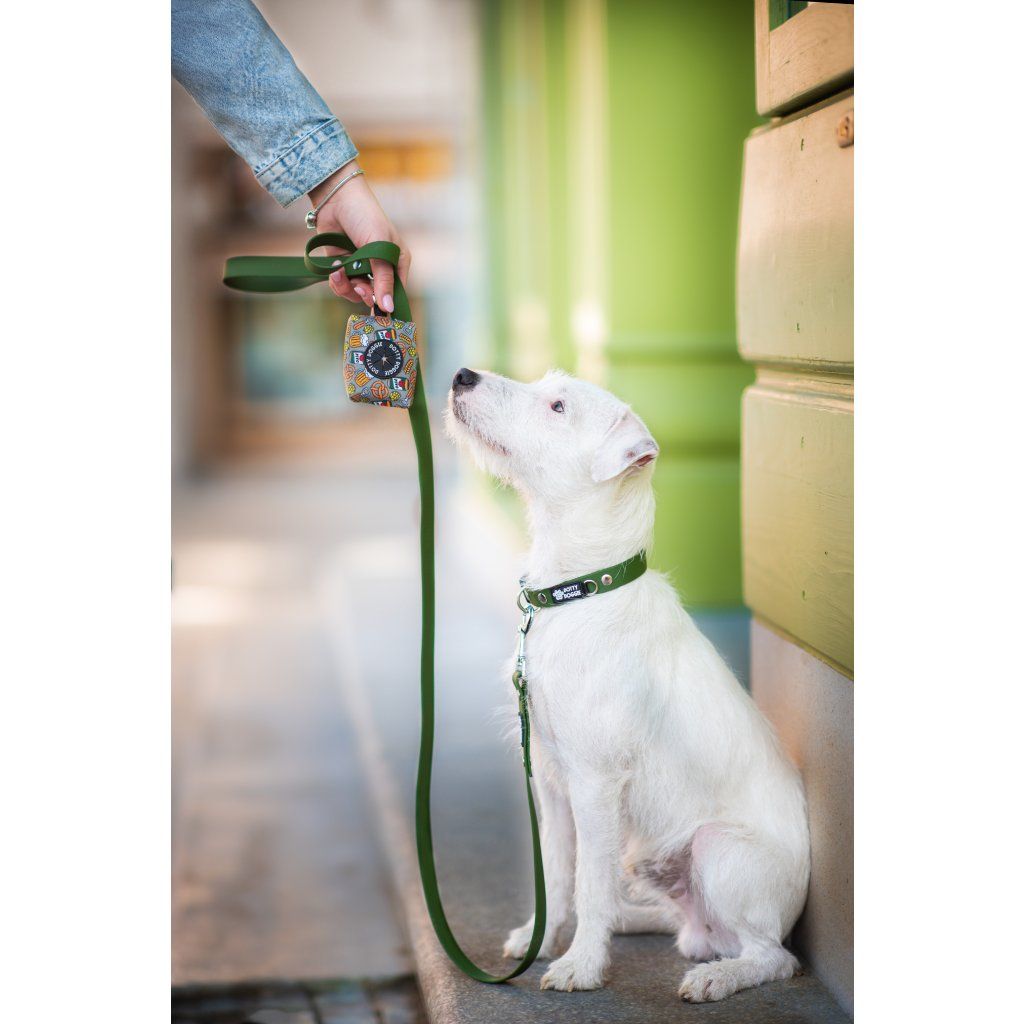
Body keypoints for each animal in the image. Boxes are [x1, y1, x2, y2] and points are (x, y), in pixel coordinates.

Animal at [445, 367, 811, 1002]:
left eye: (557, 406)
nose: (462, 376)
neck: (580, 591)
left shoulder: (594, 782)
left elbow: (589, 884)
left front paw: (581, 966)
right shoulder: (551, 780)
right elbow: (558, 874)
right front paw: (543, 940)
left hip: (716, 848)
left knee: (773, 956)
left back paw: (717, 976)